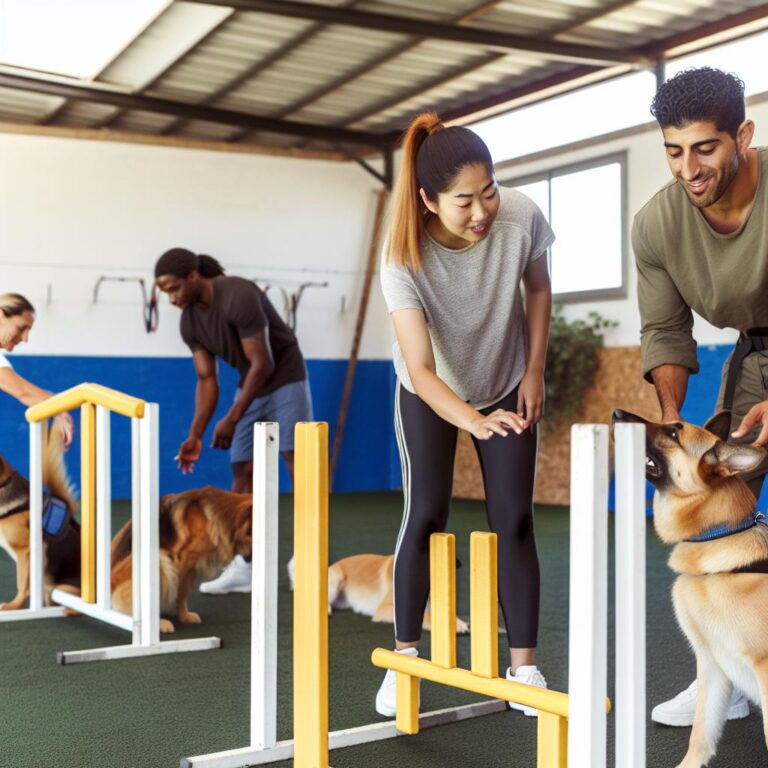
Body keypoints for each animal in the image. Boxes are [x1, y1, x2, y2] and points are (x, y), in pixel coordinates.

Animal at [109, 488, 252, 632]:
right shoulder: (183, 562)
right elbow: (178, 591)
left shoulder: (191, 568)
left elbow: (183, 593)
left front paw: (184, 616)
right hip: (161, 560)